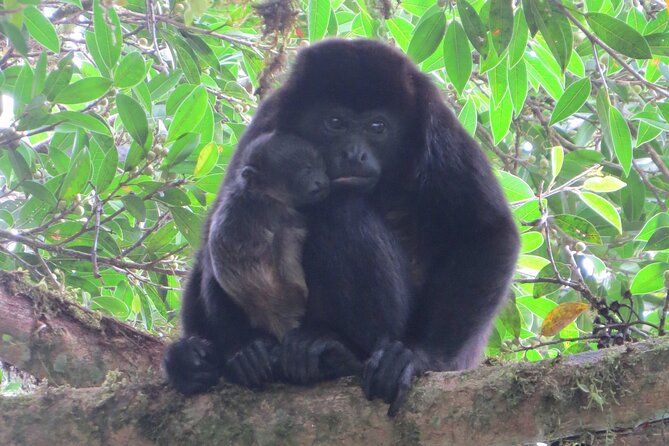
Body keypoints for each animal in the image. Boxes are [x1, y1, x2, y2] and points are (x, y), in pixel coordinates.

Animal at [164, 37, 520, 414]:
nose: (353, 154)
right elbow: (214, 228)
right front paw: (200, 358)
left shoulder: (436, 126)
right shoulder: (270, 117)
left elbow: (486, 232)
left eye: (378, 127)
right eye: (334, 121)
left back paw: (336, 351)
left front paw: (421, 356)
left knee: (340, 208)